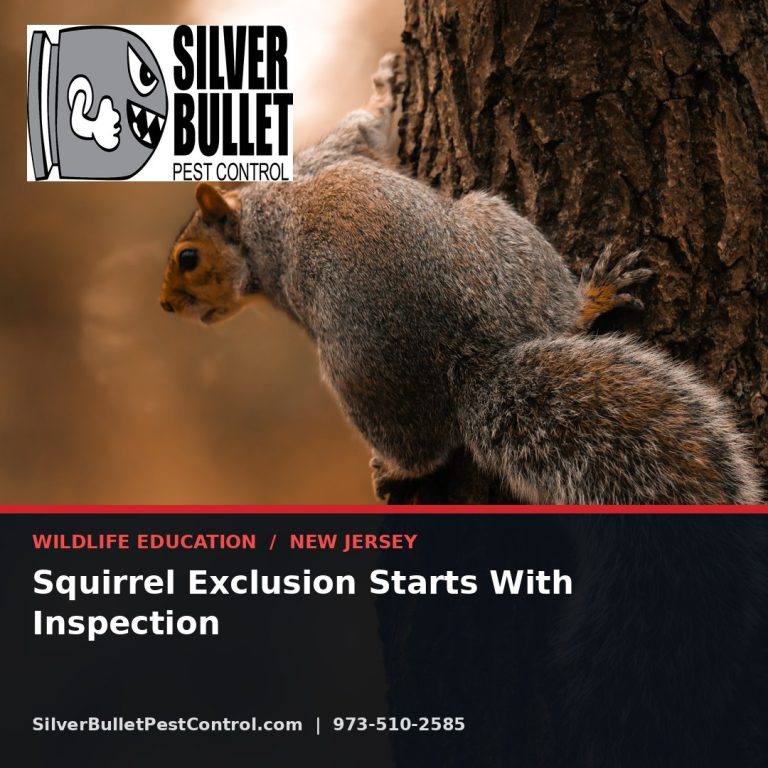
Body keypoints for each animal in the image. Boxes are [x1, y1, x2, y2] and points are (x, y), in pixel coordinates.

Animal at [160, 53, 763, 505]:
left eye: (187, 257)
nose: (166, 306)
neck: (255, 225)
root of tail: (468, 356)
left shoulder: (320, 159)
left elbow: (366, 125)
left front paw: (385, 86)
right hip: (492, 246)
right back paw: (591, 298)